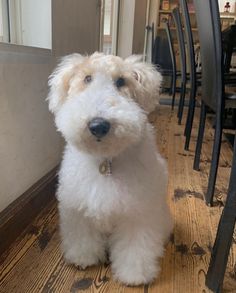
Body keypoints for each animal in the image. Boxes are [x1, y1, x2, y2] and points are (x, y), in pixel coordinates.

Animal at [47, 52, 172, 282]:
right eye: (87, 78)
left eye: (121, 81)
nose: (98, 125)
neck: (105, 161)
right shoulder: (79, 210)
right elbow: (83, 238)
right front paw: (83, 257)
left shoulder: (137, 214)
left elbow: (135, 247)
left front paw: (134, 274)